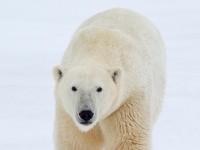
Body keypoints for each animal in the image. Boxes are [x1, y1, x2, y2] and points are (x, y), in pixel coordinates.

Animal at [52, 7, 165, 150]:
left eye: (99, 88)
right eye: (74, 88)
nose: (86, 113)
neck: (98, 49)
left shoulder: (127, 101)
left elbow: (128, 140)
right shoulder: (67, 113)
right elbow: (77, 142)